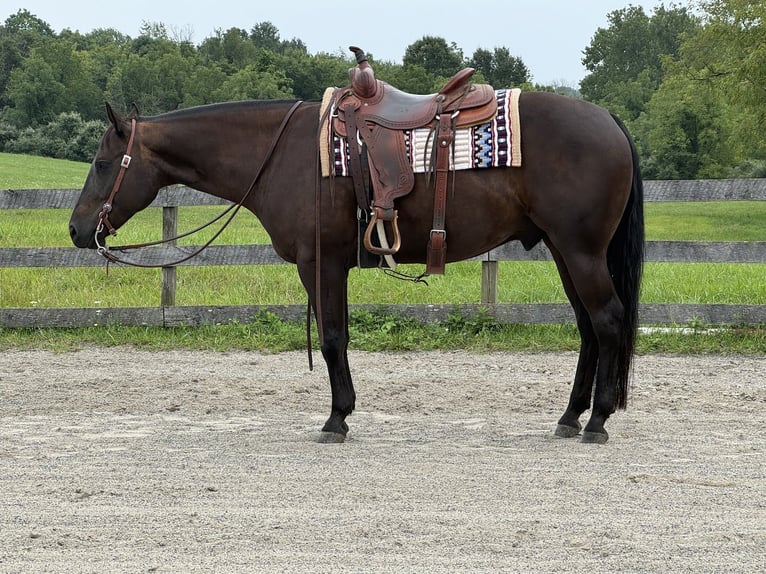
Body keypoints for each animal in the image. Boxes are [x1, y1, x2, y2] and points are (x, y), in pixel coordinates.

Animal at [69, 89, 644, 446]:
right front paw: (342, 413)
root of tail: (610, 120)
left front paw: (336, 418)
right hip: (564, 251)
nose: (76, 230)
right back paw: (570, 417)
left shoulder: (319, 264)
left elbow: (331, 339)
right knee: (588, 329)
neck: (284, 155)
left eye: (101, 163)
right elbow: (339, 337)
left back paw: (596, 420)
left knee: (608, 321)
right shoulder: (334, 266)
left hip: (580, 251)